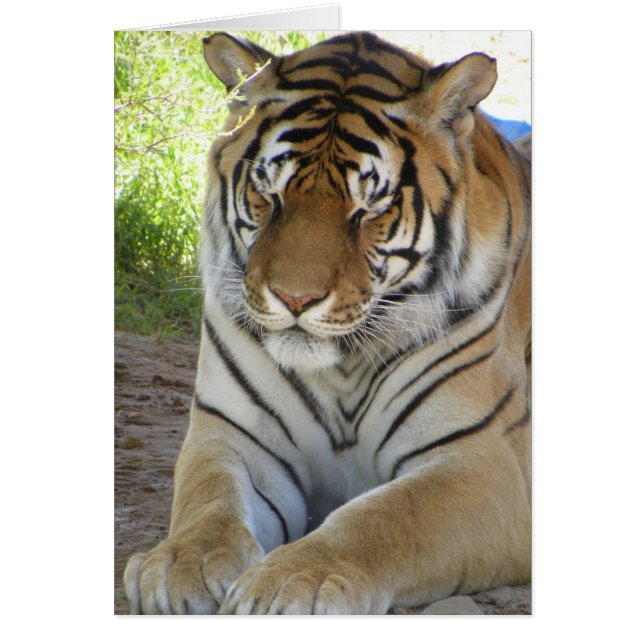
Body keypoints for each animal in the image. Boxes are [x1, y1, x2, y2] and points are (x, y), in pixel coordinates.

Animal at [124, 31, 531, 615]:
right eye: (269, 196)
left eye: (368, 210)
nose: (296, 299)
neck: (339, 371)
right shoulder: (233, 435)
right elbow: (209, 498)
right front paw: (181, 565)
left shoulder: (485, 461)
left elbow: (385, 517)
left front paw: (293, 581)